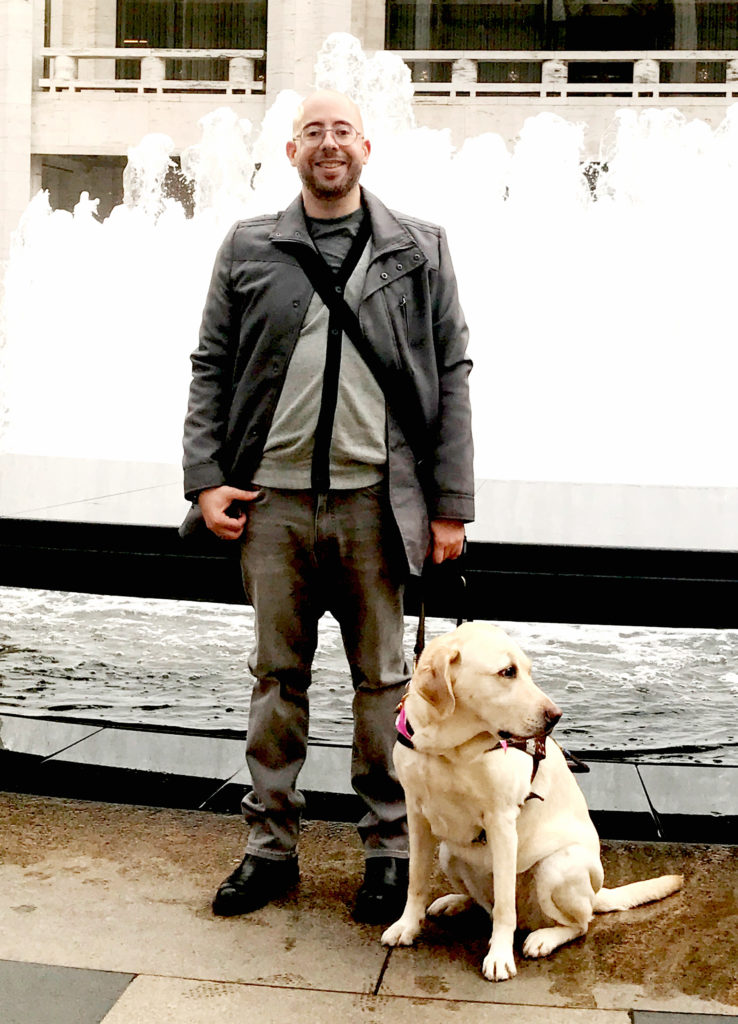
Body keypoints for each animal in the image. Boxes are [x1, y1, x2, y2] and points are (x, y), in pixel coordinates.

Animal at [382, 618, 683, 978]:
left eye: (527, 670)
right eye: (507, 672)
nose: (556, 716)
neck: (448, 748)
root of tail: (597, 894)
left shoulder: (501, 821)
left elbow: (504, 909)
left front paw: (499, 956)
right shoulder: (416, 812)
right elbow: (415, 879)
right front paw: (407, 926)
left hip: (557, 867)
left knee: (578, 923)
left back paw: (543, 938)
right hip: (448, 853)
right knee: (484, 903)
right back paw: (454, 901)